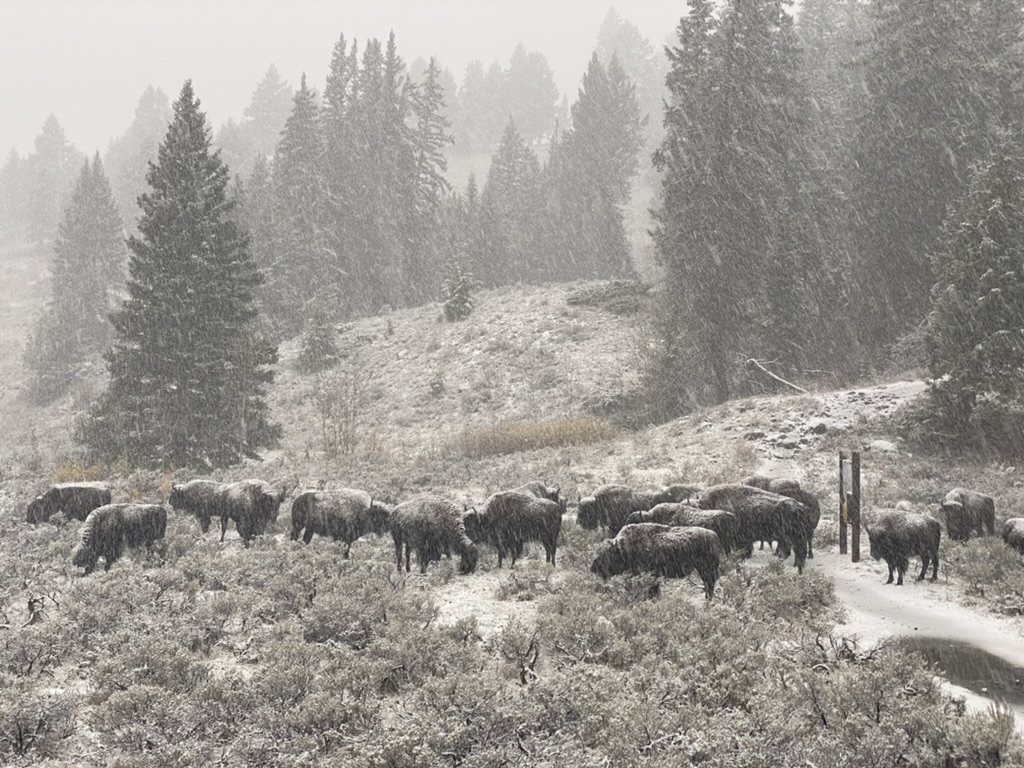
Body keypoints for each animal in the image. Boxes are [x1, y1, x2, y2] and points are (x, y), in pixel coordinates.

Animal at [589, 524, 724, 602]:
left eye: (606, 554)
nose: (593, 568)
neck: (624, 548)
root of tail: (714, 535)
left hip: (706, 569)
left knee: (709, 584)